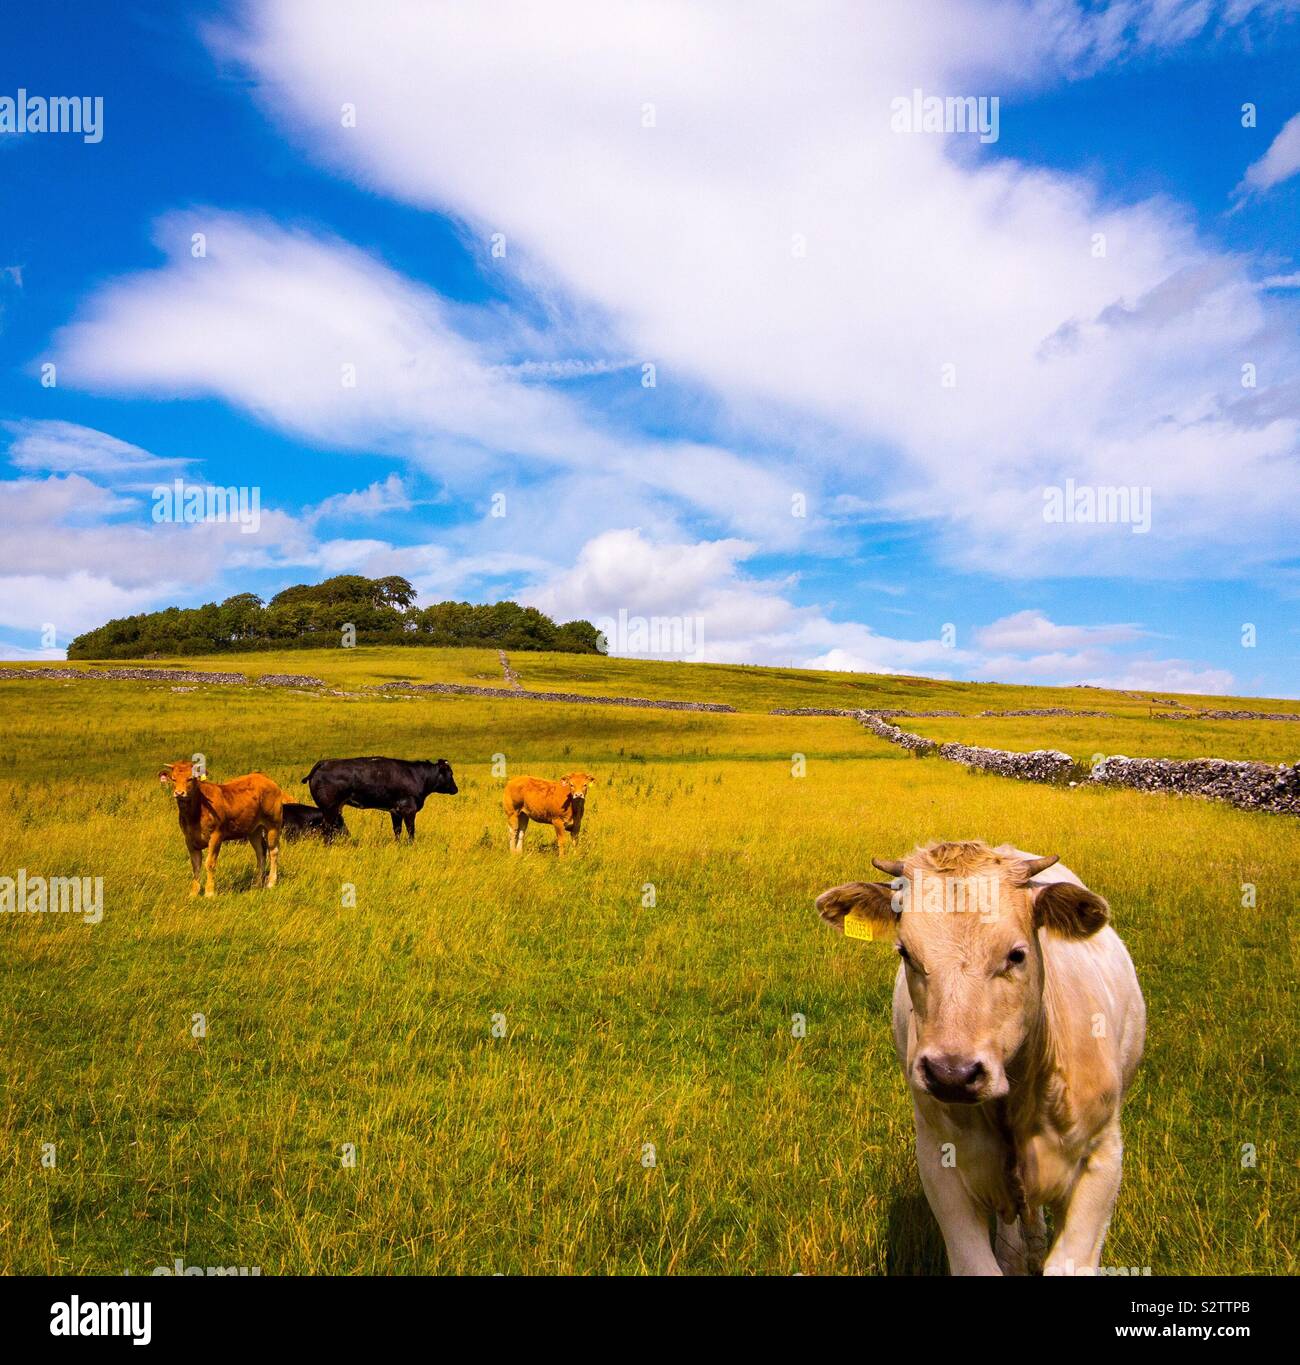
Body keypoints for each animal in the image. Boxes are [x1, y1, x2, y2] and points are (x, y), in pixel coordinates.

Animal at [158, 760, 285, 897]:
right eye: (173, 779)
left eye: (190, 778)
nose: (179, 793)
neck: (196, 813)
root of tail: (264, 778)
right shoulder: (189, 839)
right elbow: (196, 865)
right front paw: (194, 893)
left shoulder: (216, 836)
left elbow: (209, 863)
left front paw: (209, 892)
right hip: (253, 830)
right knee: (260, 853)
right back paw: (257, 884)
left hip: (273, 824)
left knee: (273, 851)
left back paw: (271, 883)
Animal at [302, 756, 458, 841]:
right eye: (450, 773)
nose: (456, 789)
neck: (418, 776)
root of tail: (324, 762)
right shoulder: (409, 810)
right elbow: (411, 830)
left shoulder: (395, 811)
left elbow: (397, 830)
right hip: (329, 808)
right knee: (327, 829)